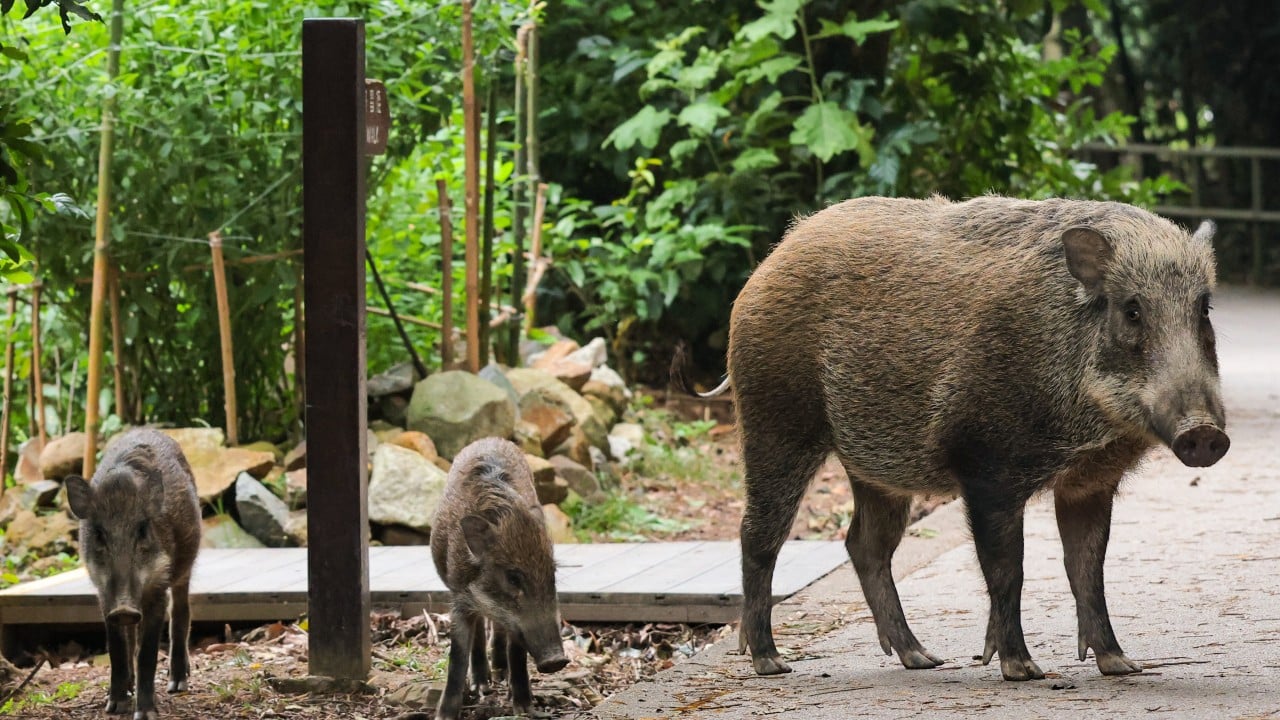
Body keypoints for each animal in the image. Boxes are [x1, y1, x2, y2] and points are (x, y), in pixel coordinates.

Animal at [64, 428, 201, 720]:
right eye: (99, 534)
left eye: (142, 529)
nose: (124, 608)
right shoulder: (104, 595)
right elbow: (117, 645)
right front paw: (115, 707)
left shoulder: (158, 589)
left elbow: (147, 651)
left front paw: (145, 713)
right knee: (131, 637)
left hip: (185, 568)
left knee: (181, 611)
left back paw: (177, 684)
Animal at [430, 437, 568, 720]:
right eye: (513, 578)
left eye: (553, 573)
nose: (556, 661)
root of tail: (491, 438)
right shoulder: (459, 599)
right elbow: (457, 655)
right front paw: (444, 715)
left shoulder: (516, 624)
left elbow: (517, 652)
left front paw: (524, 708)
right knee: (481, 631)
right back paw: (483, 684)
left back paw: (501, 676)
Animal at [687, 196, 1228, 681]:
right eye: (1132, 310)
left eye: (1203, 309)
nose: (1204, 432)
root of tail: (770, 262)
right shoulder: (985, 466)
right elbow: (1008, 568)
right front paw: (1021, 670)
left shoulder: (1089, 481)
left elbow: (1088, 569)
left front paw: (1121, 666)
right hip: (776, 423)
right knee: (758, 535)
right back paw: (771, 663)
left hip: (872, 468)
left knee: (864, 544)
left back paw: (922, 659)